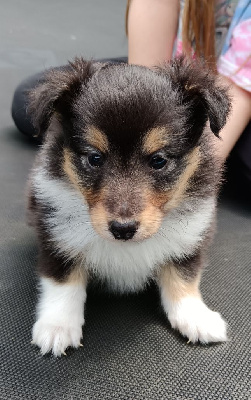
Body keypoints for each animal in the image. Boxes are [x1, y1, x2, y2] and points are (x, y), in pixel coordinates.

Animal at [27, 57, 229, 356]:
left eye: (158, 160)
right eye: (94, 158)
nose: (123, 229)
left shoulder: (192, 234)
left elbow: (184, 277)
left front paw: (196, 317)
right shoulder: (56, 234)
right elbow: (62, 282)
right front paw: (57, 327)